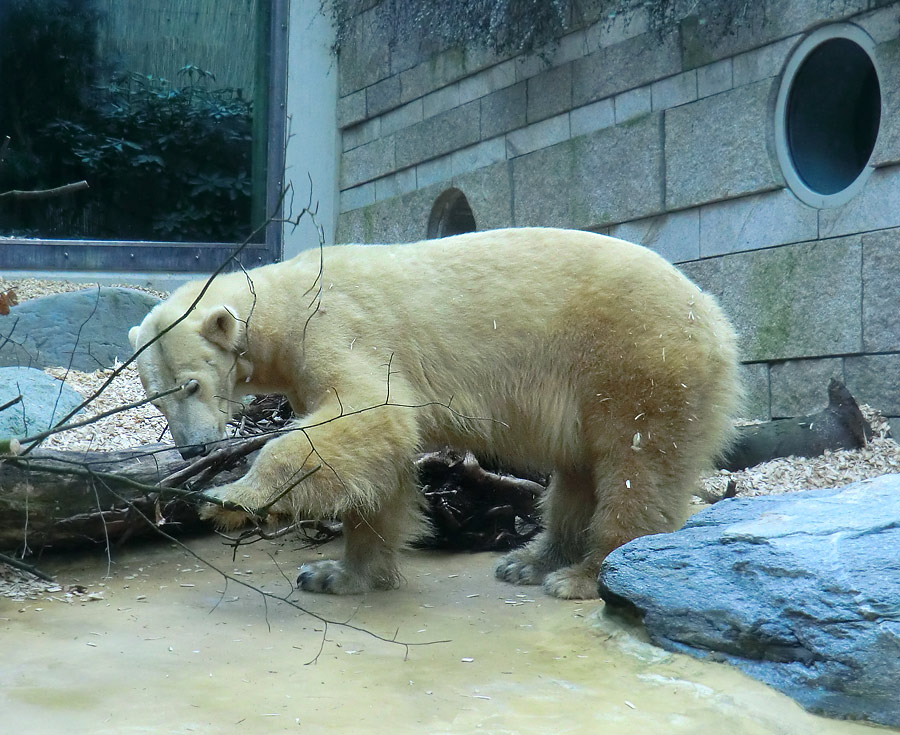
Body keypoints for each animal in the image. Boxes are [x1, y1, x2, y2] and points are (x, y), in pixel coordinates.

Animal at [130, 229, 740, 600]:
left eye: (191, 385)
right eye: (156, 398)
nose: (192, 449)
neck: (288, 298)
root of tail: (716, 318)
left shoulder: (339, 327)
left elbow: (370, 416)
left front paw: (232, 499)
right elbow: (375, 462)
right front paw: (335, 573)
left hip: (636, 359)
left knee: (637, 466)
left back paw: (582, 576)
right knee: (579, 474)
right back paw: (530, 561)